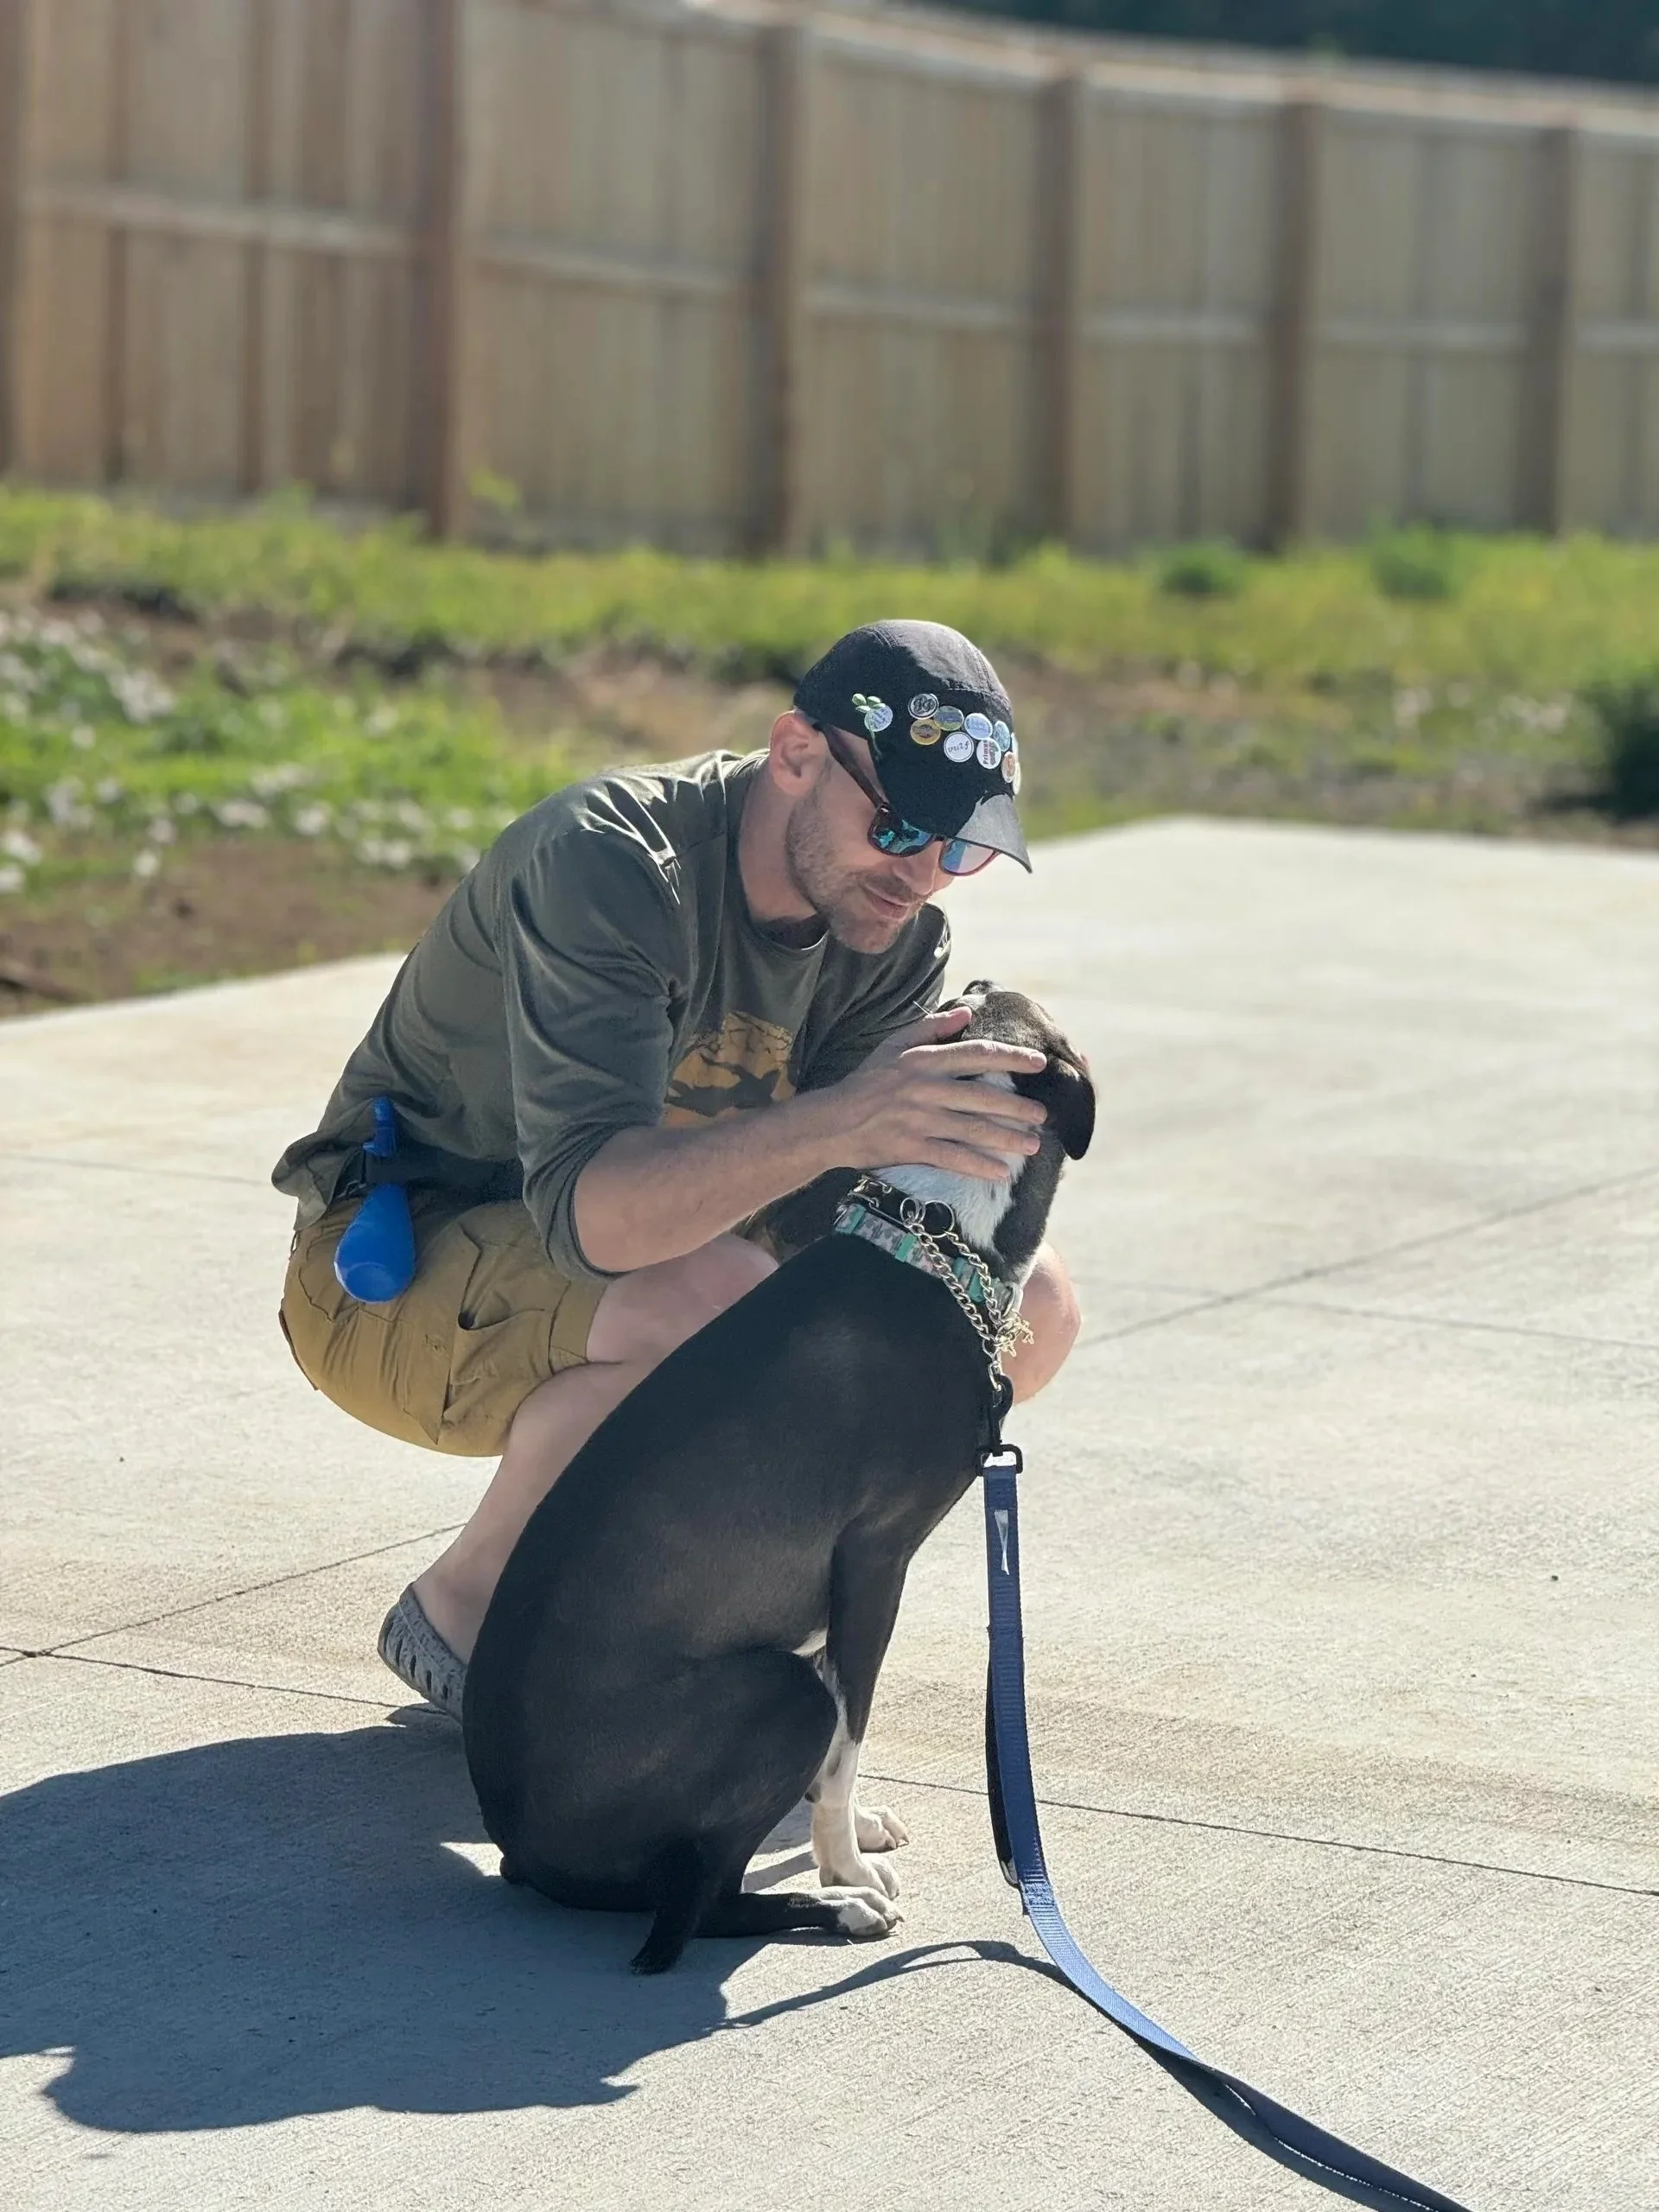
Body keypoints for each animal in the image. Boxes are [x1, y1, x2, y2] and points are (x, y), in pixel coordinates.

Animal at [462, 982, 1096, 1973]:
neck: (934, 1237)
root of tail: (521, 1849)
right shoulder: (872, 1562)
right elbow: (847, 1733)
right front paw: (845, 1864)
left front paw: (855, 1836)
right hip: (775, 1695)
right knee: (699, 1903)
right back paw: (838, 1911)